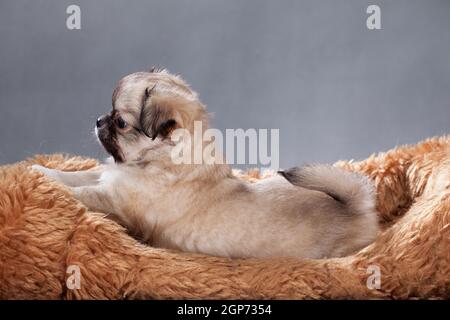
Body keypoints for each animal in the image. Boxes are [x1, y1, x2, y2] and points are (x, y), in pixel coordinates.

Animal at [33, 69, 380, 258]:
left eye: (120, 122)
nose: (98, 120)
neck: (157, 160)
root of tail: (354, 207)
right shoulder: (109, 179)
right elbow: (80, 175)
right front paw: (43, 171)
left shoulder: (114, 200)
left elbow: (82, 193)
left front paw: (47, 181)